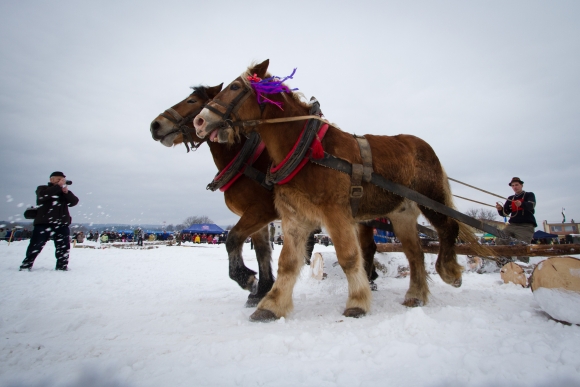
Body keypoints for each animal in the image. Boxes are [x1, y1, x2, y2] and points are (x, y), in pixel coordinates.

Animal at [151, 84, 380, 306]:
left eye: (191, 101)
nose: (155, 125)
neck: (246, 160)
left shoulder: (261, 211)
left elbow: (233, 239)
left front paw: (247, 279)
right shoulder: (256, 217)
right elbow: (262, 250)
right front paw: (262, 289)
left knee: (367, 247)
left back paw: (369, 281)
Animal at [193, 59, 482, 322]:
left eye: (234, 87)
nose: (199, 121)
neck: (306, 149)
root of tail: (425, 147)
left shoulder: (335, 213)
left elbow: (349, 257)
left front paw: (357, 302)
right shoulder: (295, 218)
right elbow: (288, 263)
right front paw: (271, 306)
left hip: (431, 198)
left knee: (448, 228)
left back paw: (450, 271)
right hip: (402, 213)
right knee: (415, 253)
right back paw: (415, 295)